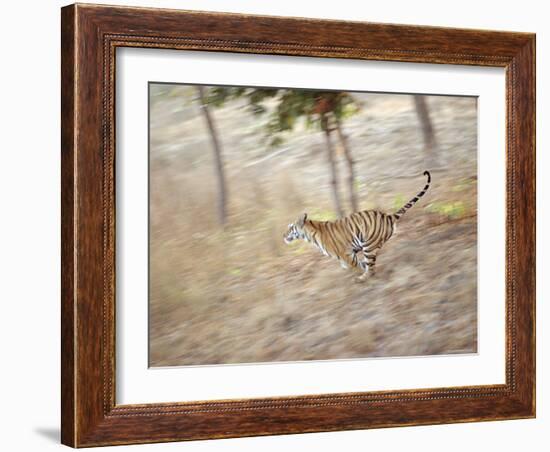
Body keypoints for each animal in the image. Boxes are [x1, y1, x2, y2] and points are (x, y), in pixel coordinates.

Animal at [286, 172, 434, 280]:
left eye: (290, 227)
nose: (283, 235)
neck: (310, 235)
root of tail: (388, 216)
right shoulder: (350, 254)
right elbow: (360, 264)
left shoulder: (346, 254)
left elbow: (357, 265)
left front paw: (358, 274)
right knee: (370, 265)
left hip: (369, 246)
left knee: (370, 266)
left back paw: (364, 278)